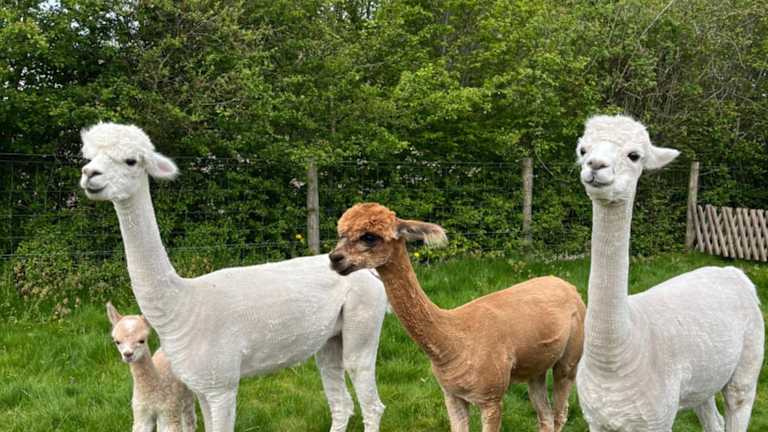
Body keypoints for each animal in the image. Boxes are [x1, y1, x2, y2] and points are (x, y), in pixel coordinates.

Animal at [329, 203, 586, 432]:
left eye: (370, 236)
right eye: (341, 234)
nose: (334, 258)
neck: (454, 340)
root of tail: (566, 284)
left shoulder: (491, 397)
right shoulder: (452, 394)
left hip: (571, 354)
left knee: (560, 412)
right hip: (536, 364)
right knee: (545, 416)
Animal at [575, 114, 764, 431]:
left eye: (634, 155)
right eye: (583, 150)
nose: (596, 165)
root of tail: (734, 273)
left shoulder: (657, 419)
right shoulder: (597, 420)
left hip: (749, 360)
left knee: (738, 403)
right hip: (703, 378)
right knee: (713, 420)